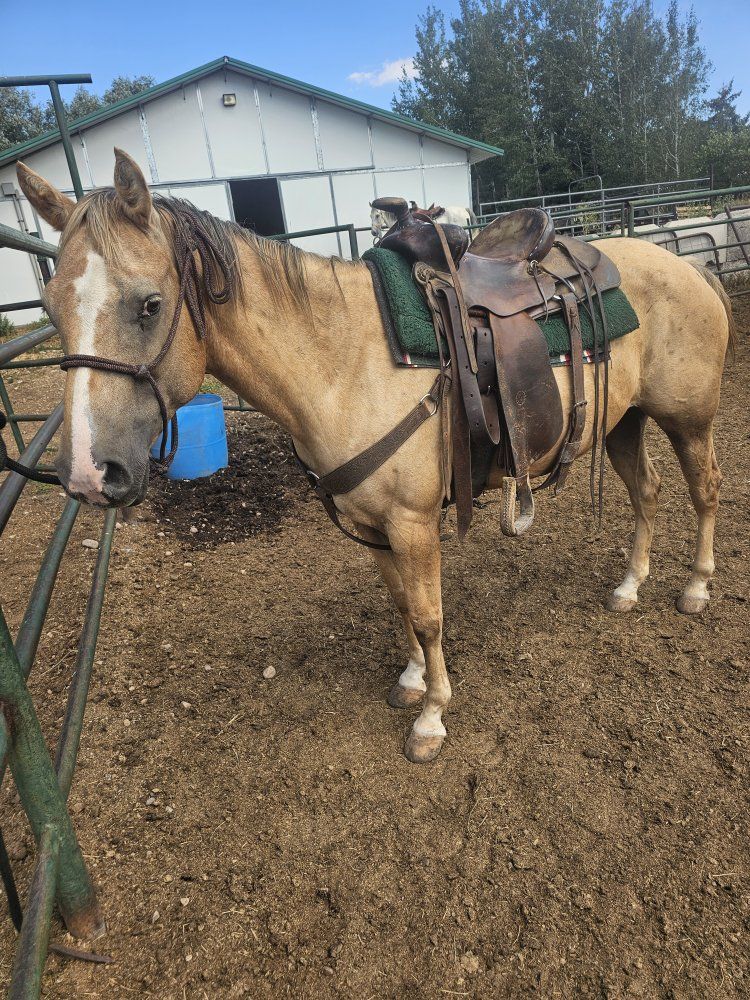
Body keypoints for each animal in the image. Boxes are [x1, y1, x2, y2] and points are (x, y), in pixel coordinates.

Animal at [17, 149, 733, 763]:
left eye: (150, 304)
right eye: (51, 306)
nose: (87, 474)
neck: (343, 363)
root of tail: (689, 267)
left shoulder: (414, 525)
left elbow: (430, 615)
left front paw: (432, 717)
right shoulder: (372, 526)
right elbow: (401, 607)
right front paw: (413, 678)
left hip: (688, 420)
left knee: (705, 491)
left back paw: (696, 586)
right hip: (624, 422)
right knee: (647, 494)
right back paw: (630, 586)